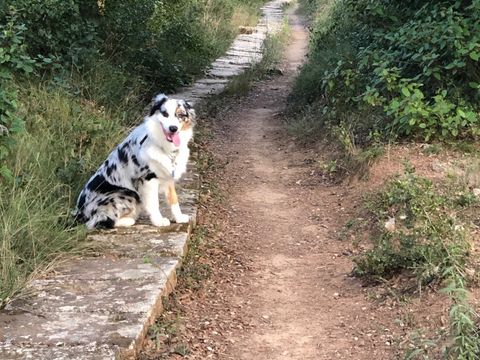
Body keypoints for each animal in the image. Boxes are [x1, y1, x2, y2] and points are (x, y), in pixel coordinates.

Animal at [75, 93, 195, 228]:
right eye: (165, 114)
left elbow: (174, 199)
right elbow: (154, 203)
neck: (163, 145)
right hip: (125, 194)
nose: (173, 128)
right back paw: (129, 220)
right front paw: (158, 221)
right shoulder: (148, 179)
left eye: (181, 115)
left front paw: (179, 218)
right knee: (98, 221)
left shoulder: (168, 175)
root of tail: (79, 213)